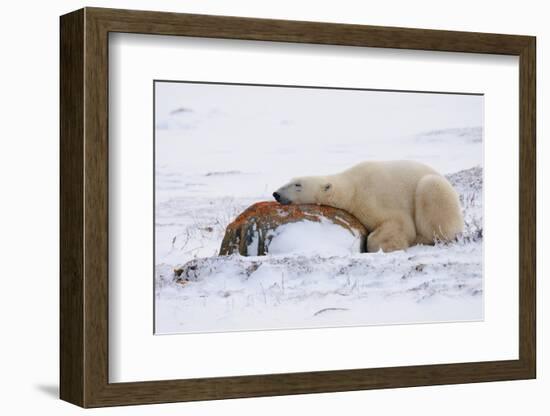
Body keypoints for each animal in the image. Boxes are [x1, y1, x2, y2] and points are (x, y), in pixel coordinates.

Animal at [274, 160, 464, 252]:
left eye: (297, 185)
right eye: (290, 180)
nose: (276, 194)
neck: (352, 188)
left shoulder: (376, 196)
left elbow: (399, 224)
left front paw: (387, 246)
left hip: (436, 190)